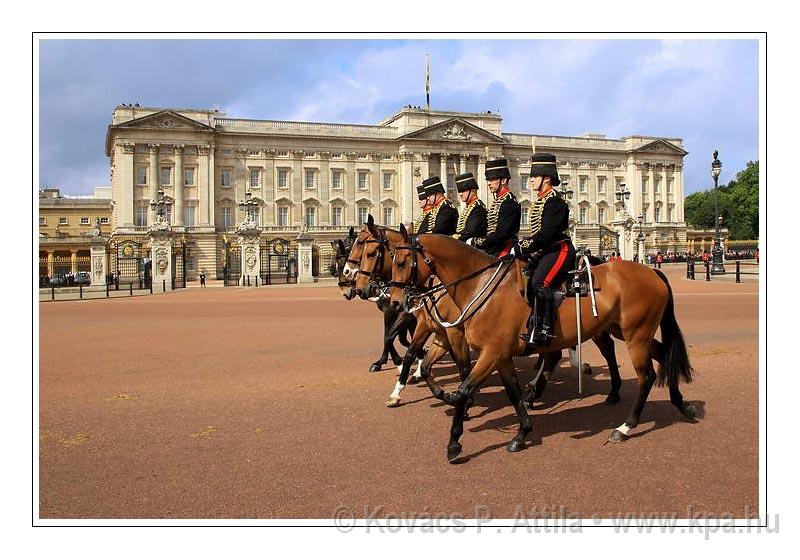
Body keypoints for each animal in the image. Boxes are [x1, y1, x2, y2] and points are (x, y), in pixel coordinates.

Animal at [390, 225, 696, 462]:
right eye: (390, 260)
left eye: (402, 262)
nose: (395, 302)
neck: (480, 285)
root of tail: (651, 271)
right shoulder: (498, 355)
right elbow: (511, 392)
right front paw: (522, 432)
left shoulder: (489, 352)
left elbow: (465, 388)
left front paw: (454, 443)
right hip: (628, 332)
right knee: (664, 355)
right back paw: (681, 405)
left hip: (636, 335)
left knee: (646, 376)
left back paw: (625, 426)